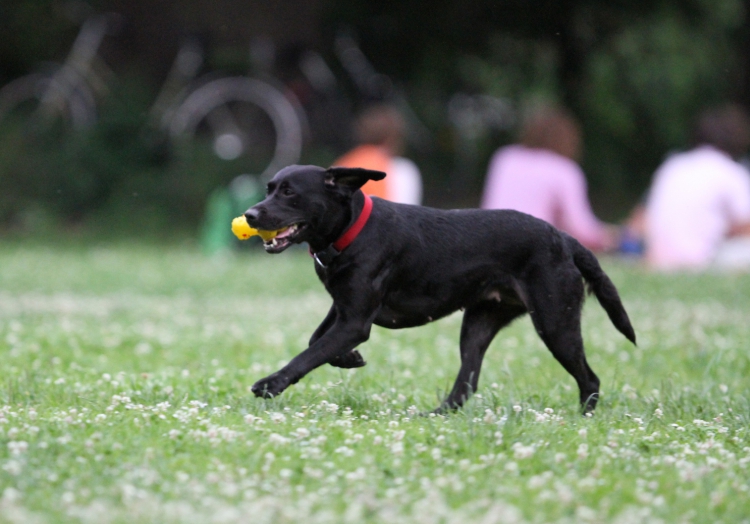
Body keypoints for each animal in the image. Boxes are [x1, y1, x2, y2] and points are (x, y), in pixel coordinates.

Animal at [245, 166, 636, 412]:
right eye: (269, 189)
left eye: (290, 192)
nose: (250, 215)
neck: (350, 231)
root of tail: (565, 239)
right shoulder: (344, 309)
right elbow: (317, 341)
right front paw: (349, 358)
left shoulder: (355, 321)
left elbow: (309, 353)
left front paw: (271, 383)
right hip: (479, 323)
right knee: (466, 385)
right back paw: (435, 415)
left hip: (555, 323)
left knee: (590, 379)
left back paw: (584, 419)